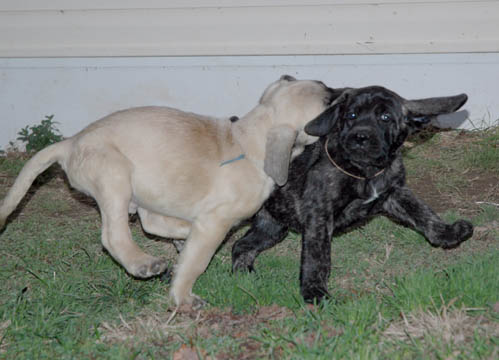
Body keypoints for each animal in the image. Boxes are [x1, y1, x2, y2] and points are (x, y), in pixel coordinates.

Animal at [232, 86, 474, 302]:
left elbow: (422, 212)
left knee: (241, 245)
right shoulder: (319, 215)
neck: (365, 172)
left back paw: (243, 275)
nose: (360, 137)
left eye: (385, 117)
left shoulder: (394, 194)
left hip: (272, 227)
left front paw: (447, 233)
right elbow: (317, 256)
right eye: (351, 115)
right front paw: (314, 291)